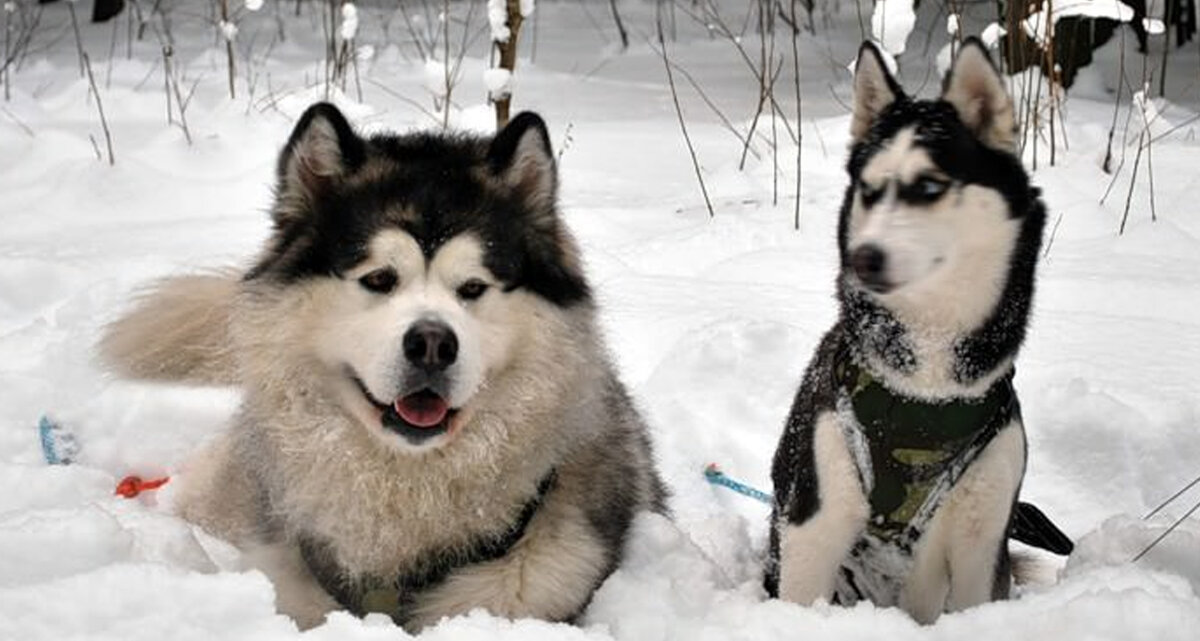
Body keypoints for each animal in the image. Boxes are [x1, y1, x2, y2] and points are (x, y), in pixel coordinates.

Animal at [763, 40, 1065, 624]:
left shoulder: (981, 536)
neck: (926, 391)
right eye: (868, 189)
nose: (863, 258)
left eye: (928, 186)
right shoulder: (815, 518)